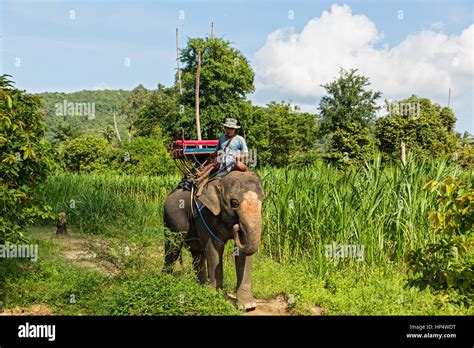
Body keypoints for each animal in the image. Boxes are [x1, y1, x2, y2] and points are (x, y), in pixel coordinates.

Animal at [164, 170, 264, 308]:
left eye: (262, 201)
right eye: (234, 203)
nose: (237, 227)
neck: (220, 181)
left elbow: (242, 252)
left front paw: (248, 306)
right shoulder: (205, 214)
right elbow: (214, 247)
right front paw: (215, 297)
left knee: (197, 252)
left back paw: (199, 287)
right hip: (170, 220)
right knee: (172, 248)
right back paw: (165, 280)